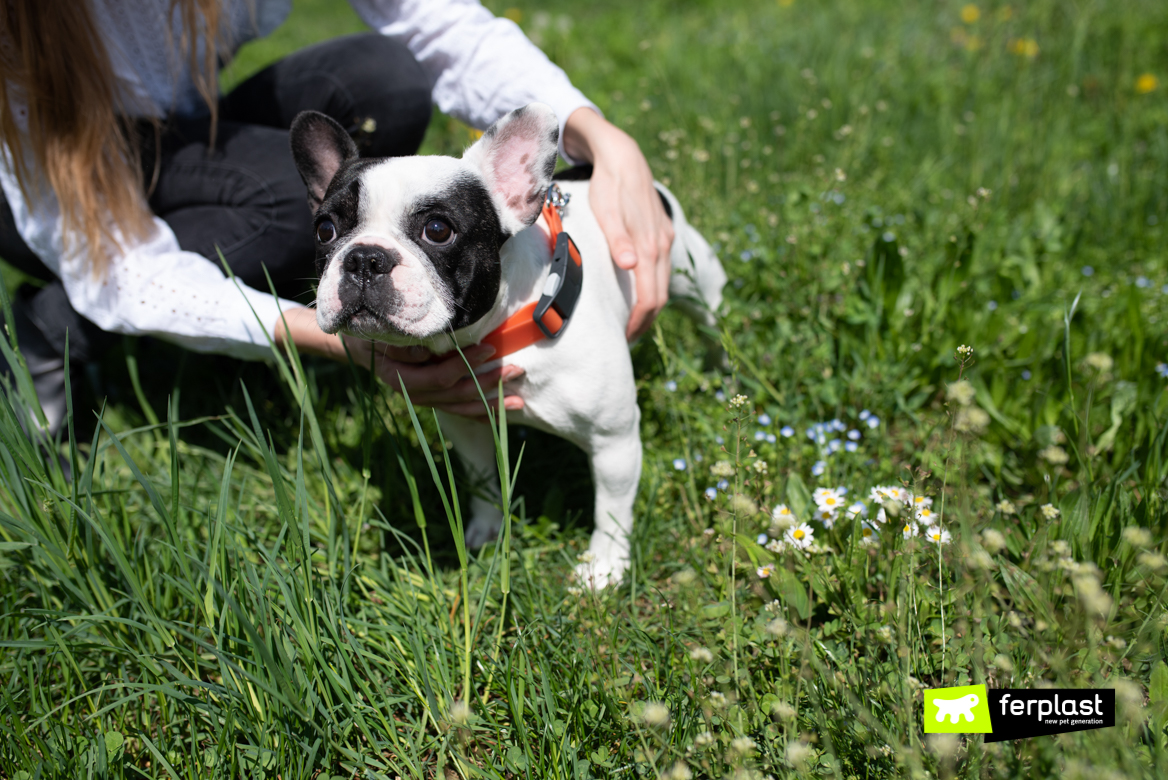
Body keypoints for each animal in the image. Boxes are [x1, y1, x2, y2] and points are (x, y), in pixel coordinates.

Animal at [290, 105, 724, 590]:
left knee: (713, 324)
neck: (499, 332)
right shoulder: (466, 425)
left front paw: (604, 568)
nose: (364, 257)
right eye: (325, 230)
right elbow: (481, 480)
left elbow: (611, 510)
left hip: (695, 282)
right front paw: (487, 528)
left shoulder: (615, 441)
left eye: (437, 230)